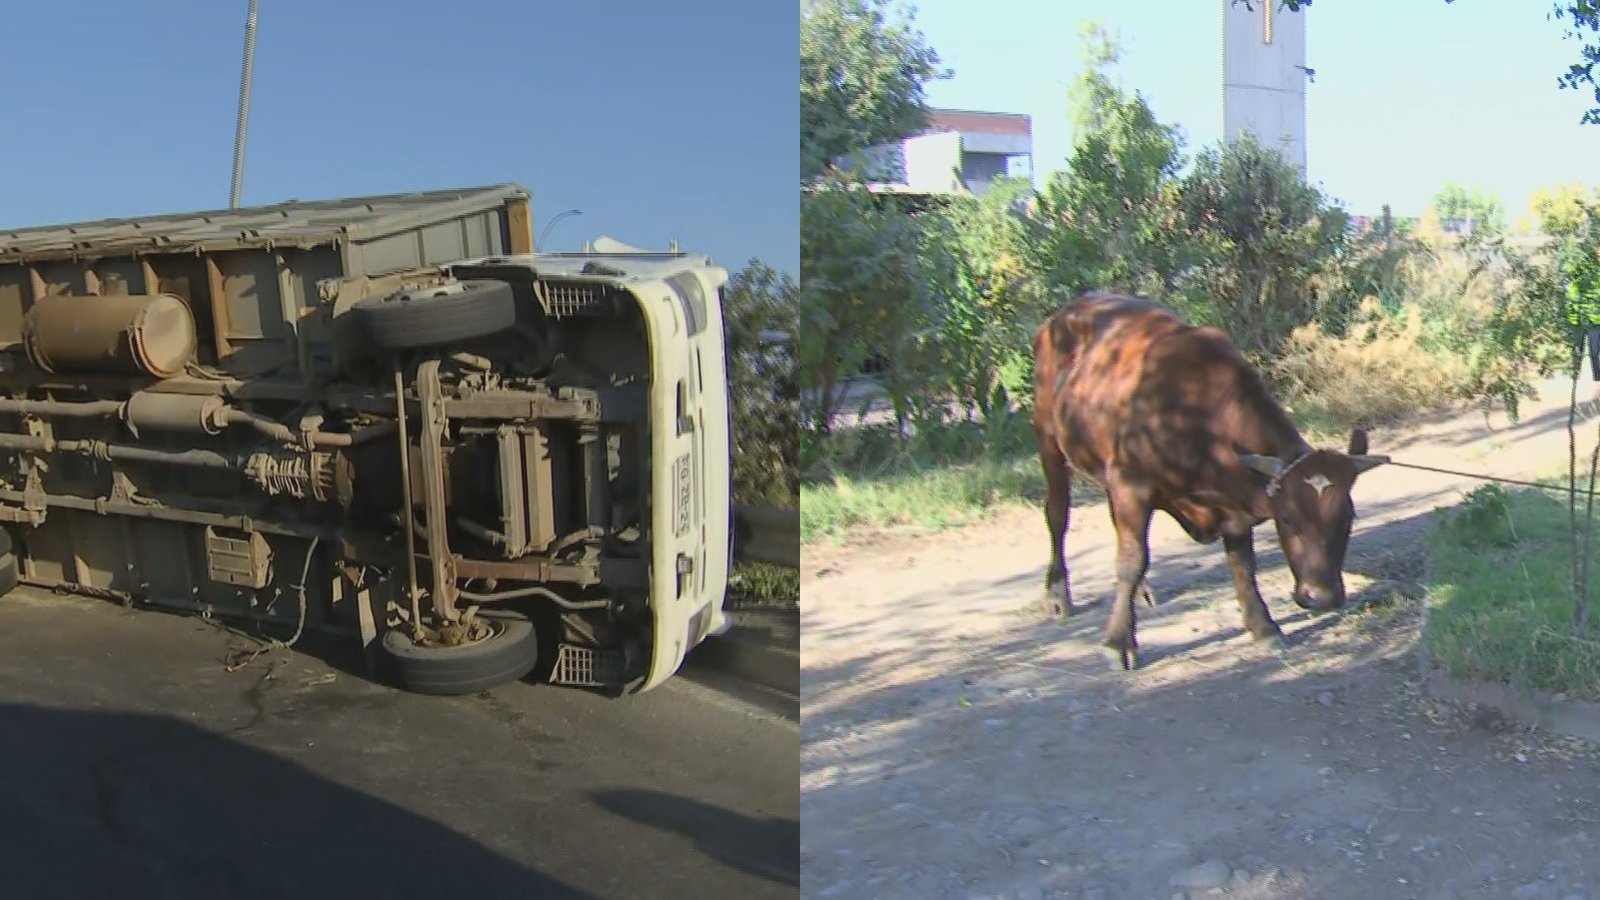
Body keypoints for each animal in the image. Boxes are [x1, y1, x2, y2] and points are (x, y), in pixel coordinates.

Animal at [1030, 291, 1382, 669]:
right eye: (1287, 517)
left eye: (1347, 517)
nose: (1322, 597)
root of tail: (1064, 313)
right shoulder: (1131, 484)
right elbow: (1131, 559)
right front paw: (1117, 642)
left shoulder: (1233, 507)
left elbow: (1242, 565)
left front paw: (1263, 627)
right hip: (1048, 440)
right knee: (1057, 516)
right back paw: (1057, 594)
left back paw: (1142, 592)